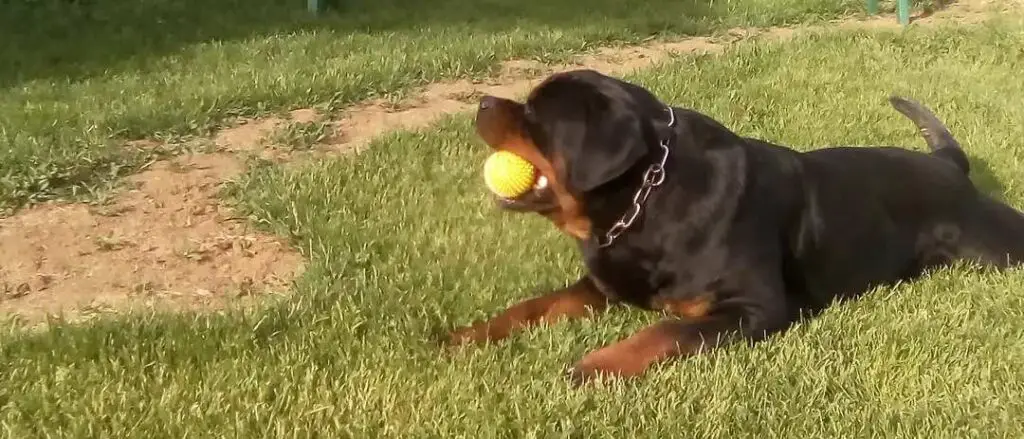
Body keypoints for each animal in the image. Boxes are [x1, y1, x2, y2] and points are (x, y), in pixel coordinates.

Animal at [444, 67, 1024, 382]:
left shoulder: (753, 309)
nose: (483, 102)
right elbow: (535, 305)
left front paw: (595, 365)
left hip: (999, 246)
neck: (646, 203)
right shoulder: (603, 284)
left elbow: (665, 329)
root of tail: (948, 166)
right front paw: (468, 335)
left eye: (537, 115)